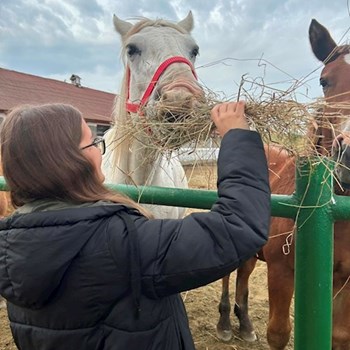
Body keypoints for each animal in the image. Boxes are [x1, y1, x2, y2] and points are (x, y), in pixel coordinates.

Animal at [216, 19, 350, 350]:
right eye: (324, 81)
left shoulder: (345, 283)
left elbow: (339, 335)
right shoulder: (281, 272)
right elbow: (278, 333)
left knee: (243, 274)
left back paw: (244, 323)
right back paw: (225, 323)